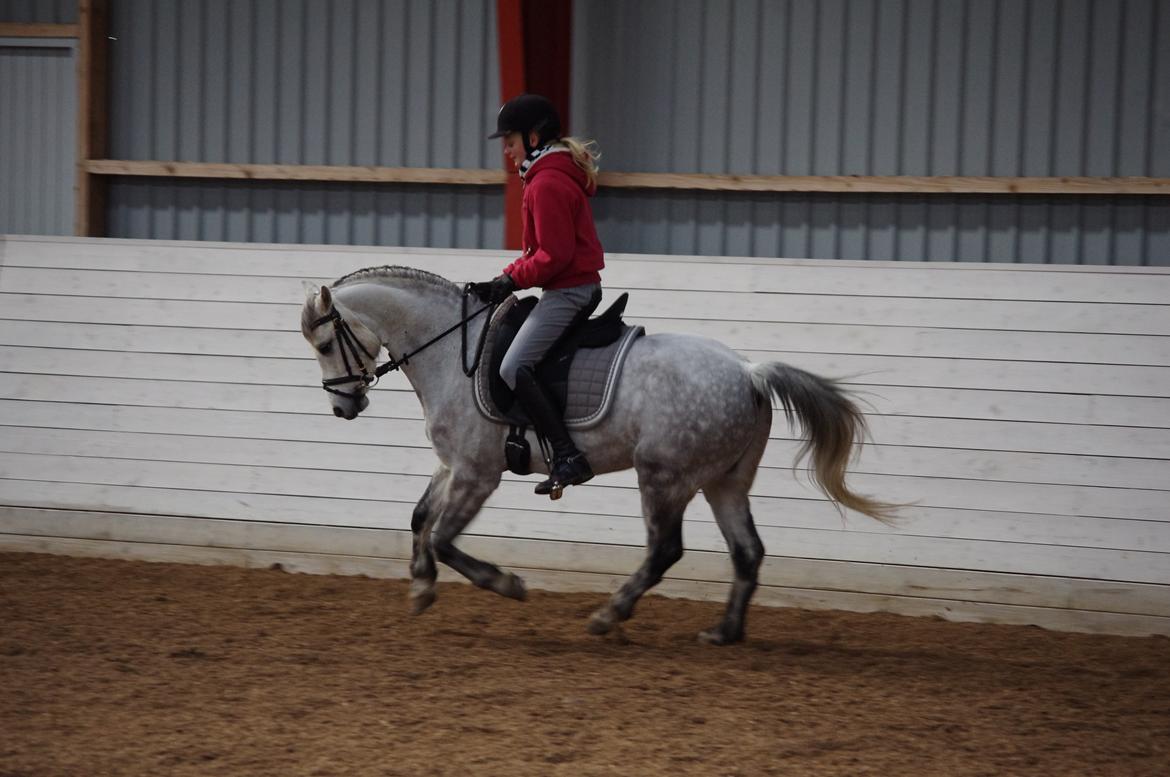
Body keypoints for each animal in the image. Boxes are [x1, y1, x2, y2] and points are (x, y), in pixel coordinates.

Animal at [304, 266, 893, 641]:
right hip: (723, 481)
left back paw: (609, 615)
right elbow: (420, 517)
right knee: (746, 551)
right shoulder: (453, 464)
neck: (451, 352)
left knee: (665, 551)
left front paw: (507, 585)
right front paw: (422, 588)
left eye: (324, 344)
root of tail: (749, 372)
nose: (342, 406)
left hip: (665, 478)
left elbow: (445, 539)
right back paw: (724, 632)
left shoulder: (476, 473)